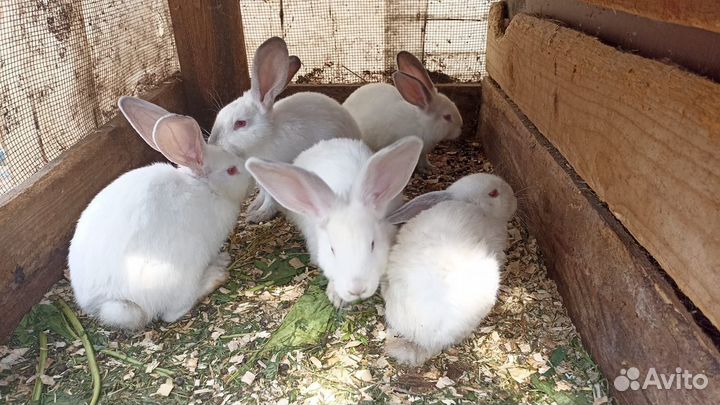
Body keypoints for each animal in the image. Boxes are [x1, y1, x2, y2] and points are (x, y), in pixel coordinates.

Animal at [67, 96, 252, 330]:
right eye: (231, 170)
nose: (251, 178)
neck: (204, 186)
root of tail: (111, 301)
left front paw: (222, 257)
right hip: (184, 264)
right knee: (173, 311)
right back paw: (215, 277)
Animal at [208, 36, 361, 224]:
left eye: (240, 123)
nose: (212, 142)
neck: (266, 138)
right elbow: (263, 195)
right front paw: (253, 207)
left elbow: (271, 199)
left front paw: (258, 215)